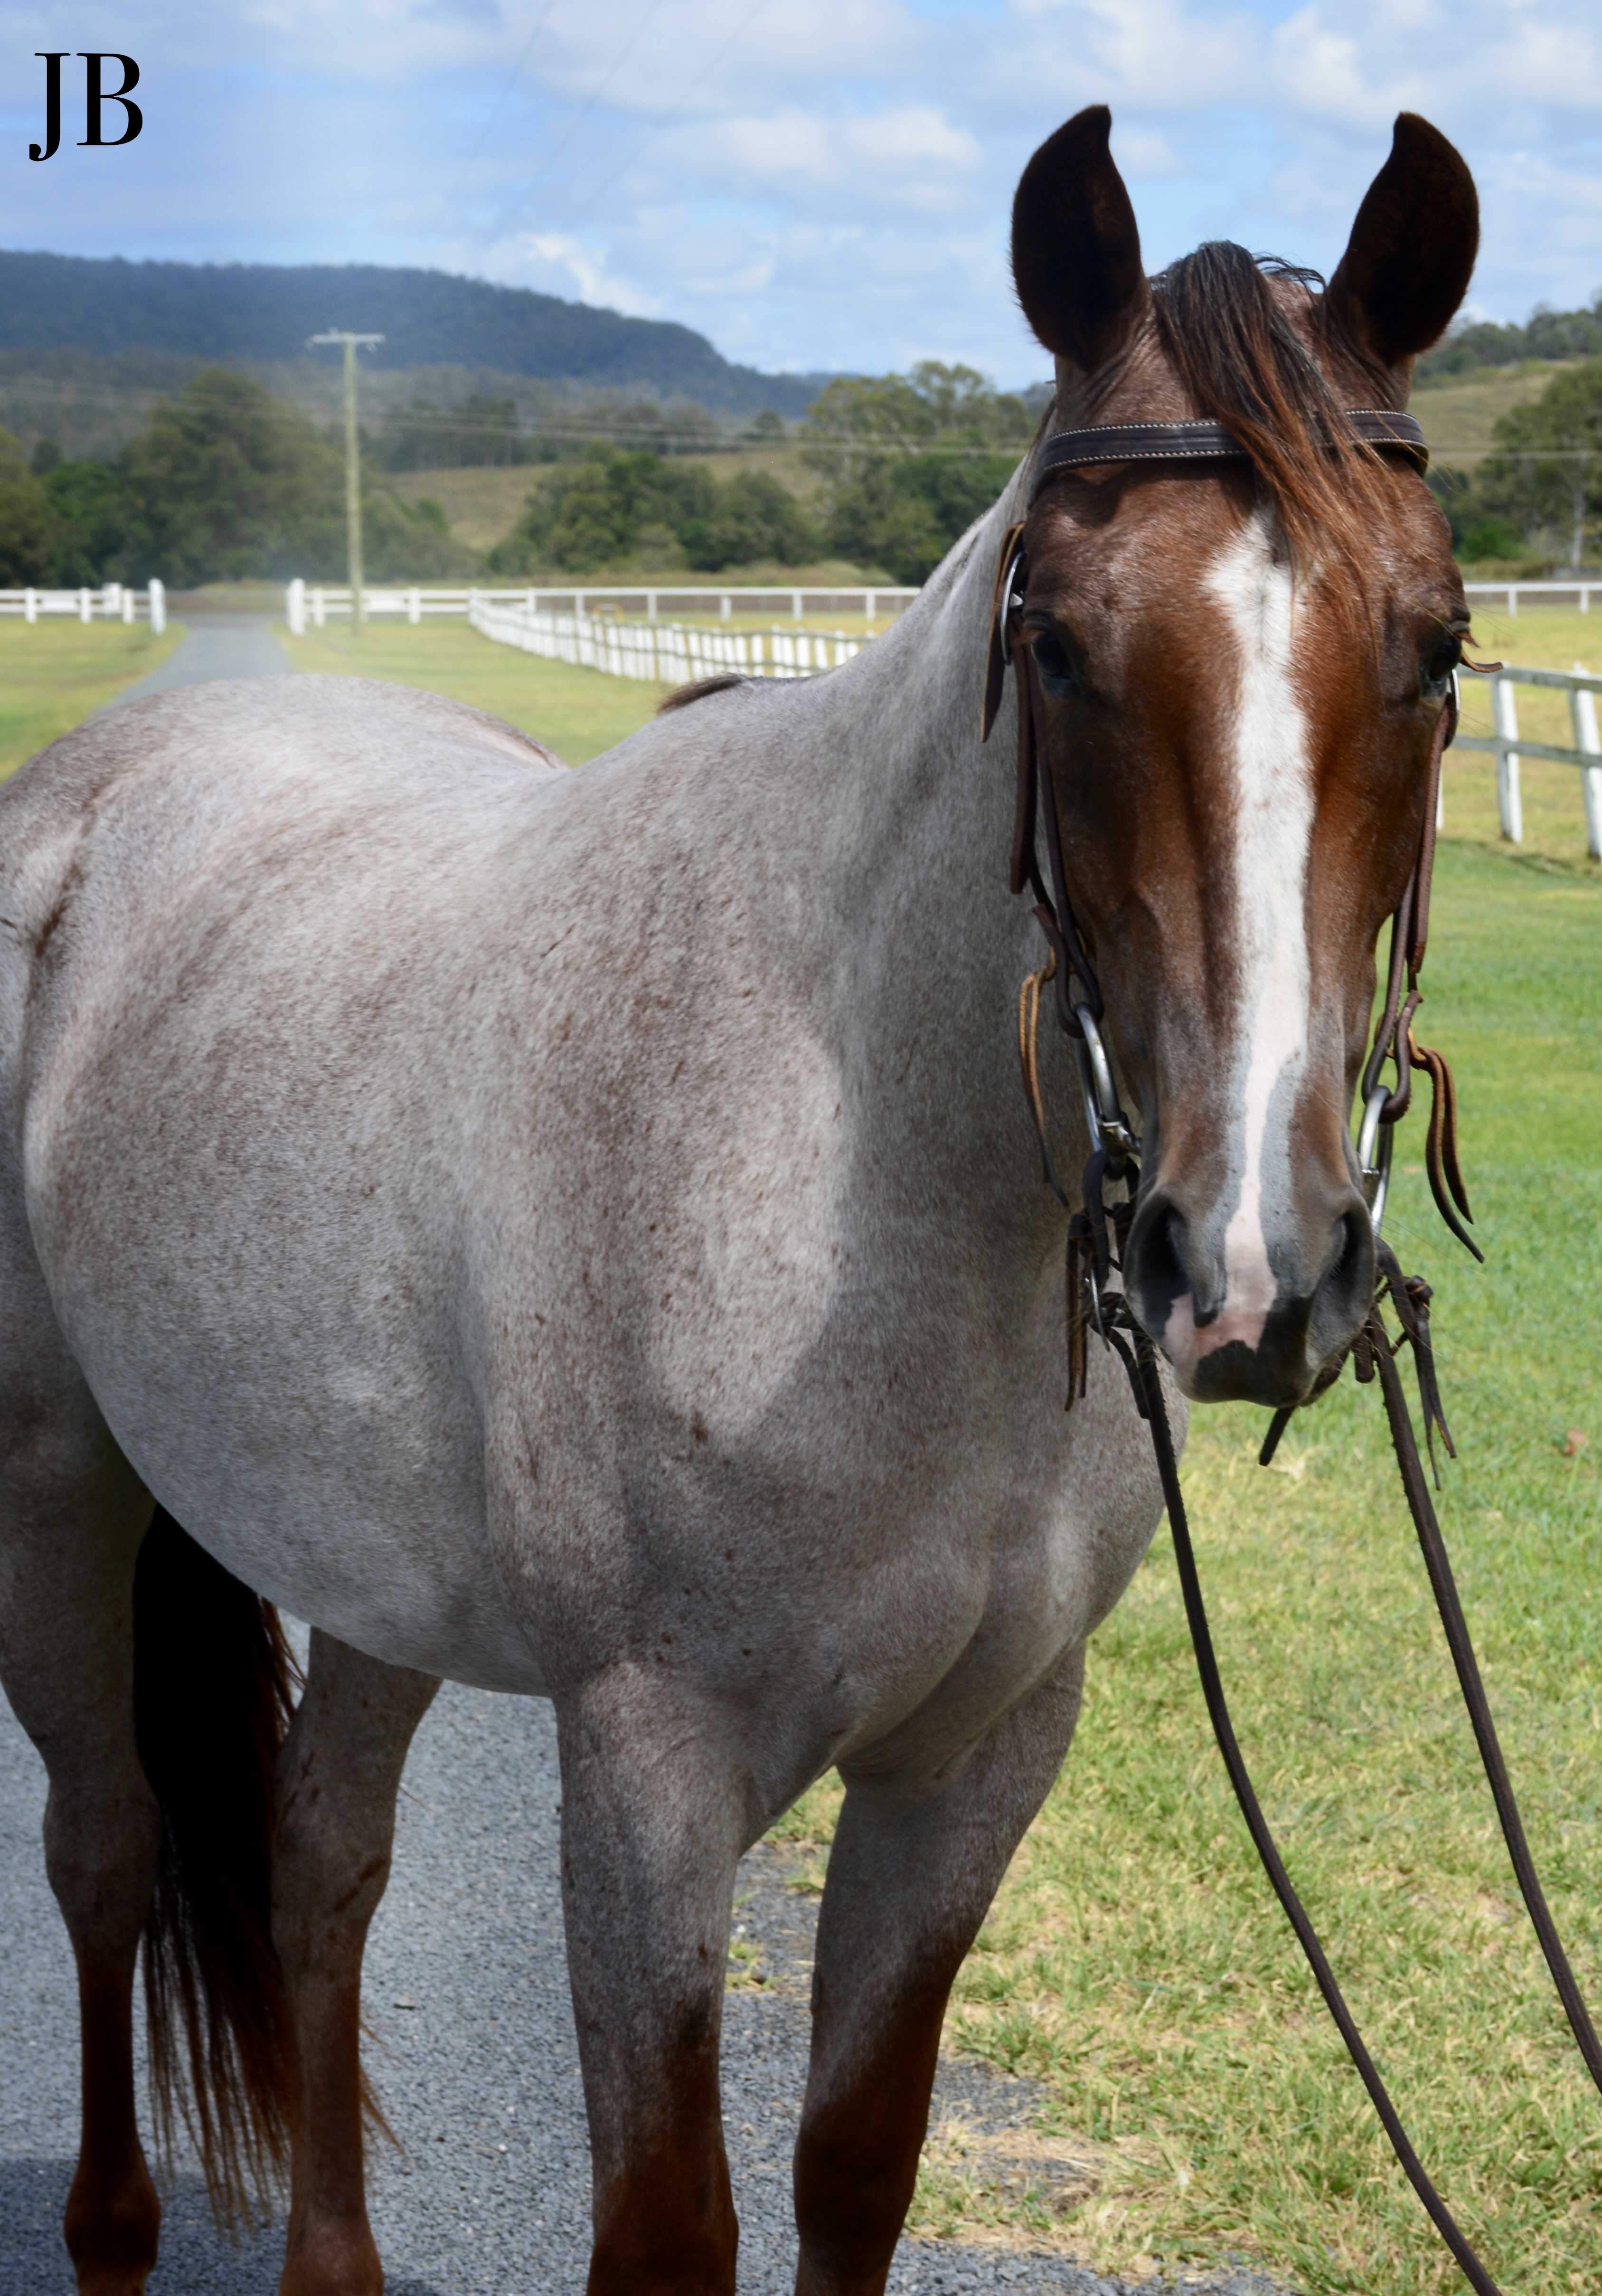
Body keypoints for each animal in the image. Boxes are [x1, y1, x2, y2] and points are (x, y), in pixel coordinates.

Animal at [0, 104, 1478, 2296]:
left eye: (1439, 644)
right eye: (1057, 643)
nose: (1251, 1263)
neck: (863, 1183)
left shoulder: (974, 1756)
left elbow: (855, 2161)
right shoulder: (649, 1767)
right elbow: (665, 2220)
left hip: (365, 1566)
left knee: (319, 1861)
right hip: (59, 1490)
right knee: (102, 1852)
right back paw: (110, 2221)